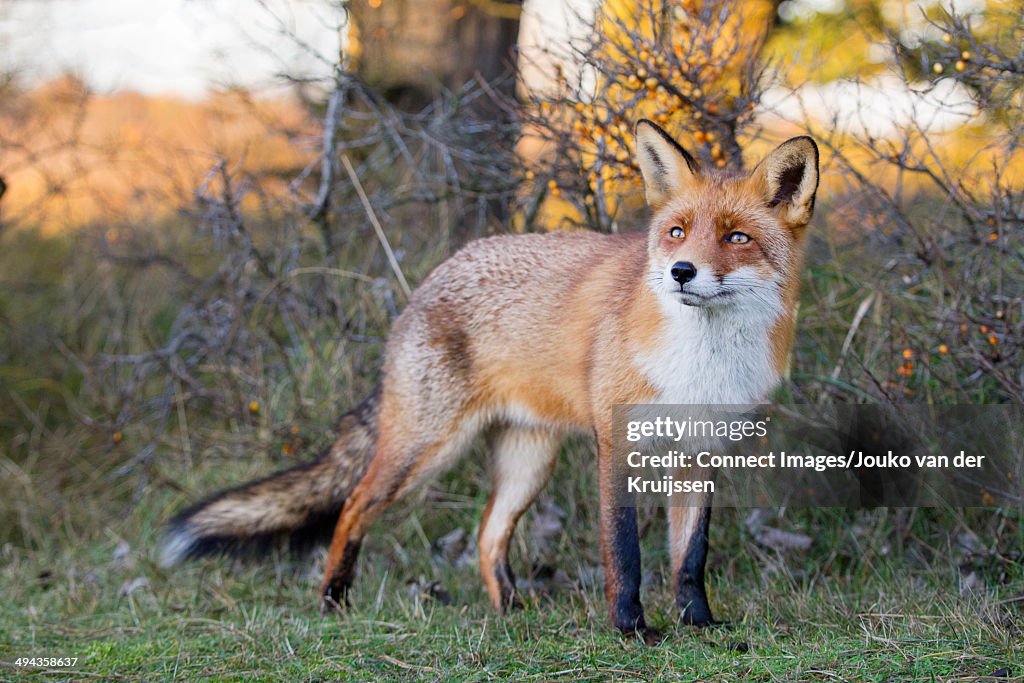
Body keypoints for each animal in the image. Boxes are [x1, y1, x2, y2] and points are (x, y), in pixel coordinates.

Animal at [160, 119, 819, 641]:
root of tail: (429, 279)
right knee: (353, 506)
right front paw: (631, 630)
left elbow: (691, 556)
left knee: (486, 534)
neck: (700, 364)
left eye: (736, 237)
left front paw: (699, 625)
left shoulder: (701, 451)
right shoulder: (618, 446)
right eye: (677, 231)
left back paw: (510, 610)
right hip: (425, 448)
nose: (682, 271)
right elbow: (624, 554)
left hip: (528, 461)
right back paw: (333, 599)